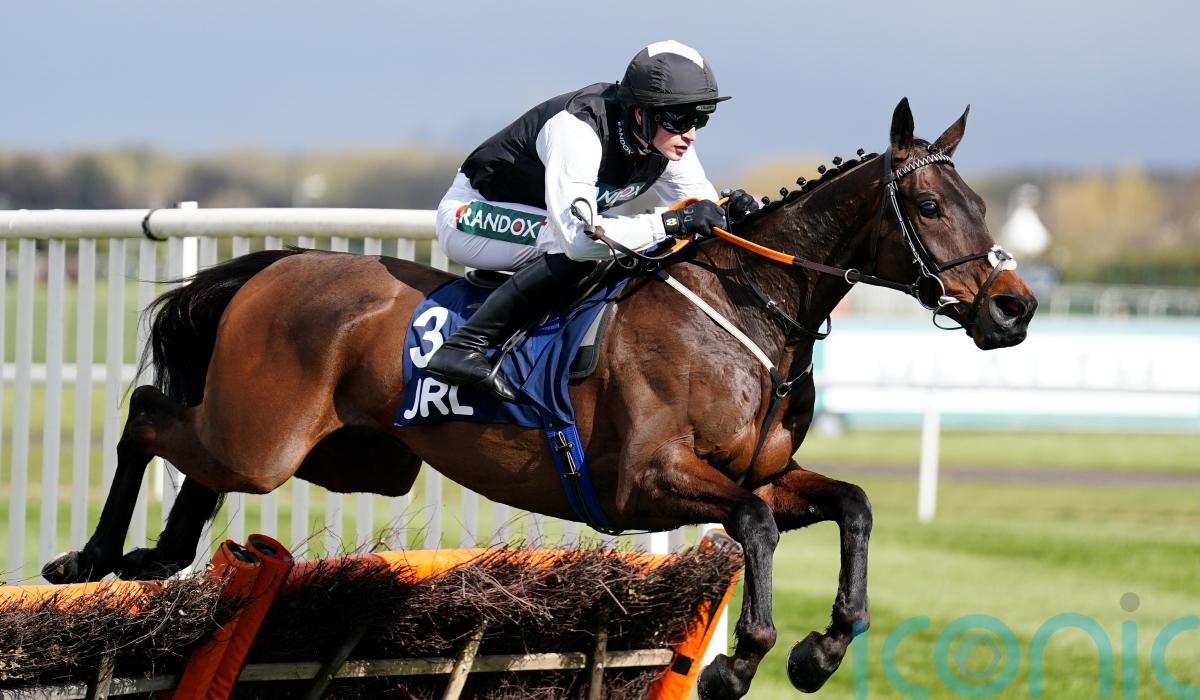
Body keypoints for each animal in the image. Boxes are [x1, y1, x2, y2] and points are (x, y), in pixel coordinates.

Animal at [43, 98, 1036, 698]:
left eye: (985, 205)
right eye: (933, 208)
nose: (1013, 307)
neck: (742, 312)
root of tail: (275, 266)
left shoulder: (759, 472)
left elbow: (853, 504)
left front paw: (821, 649)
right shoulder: (647, 482)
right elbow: (753, 526)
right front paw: (738, 660)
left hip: (339, 457)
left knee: (191, 457)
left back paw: (159, 556)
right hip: (266, 441)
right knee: (145, 413)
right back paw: (90, 557)